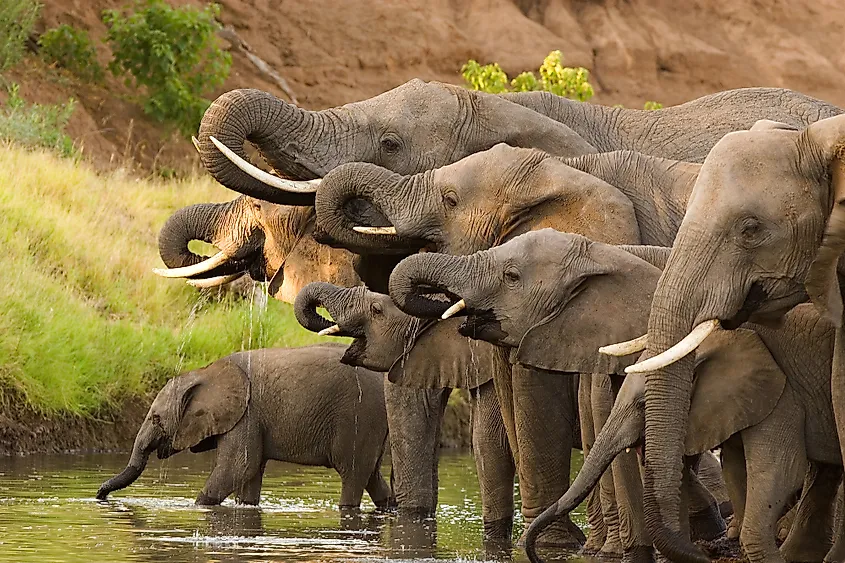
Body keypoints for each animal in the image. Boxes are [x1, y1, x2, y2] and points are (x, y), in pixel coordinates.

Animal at [96, 344, 392, 512]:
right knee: (372, 475)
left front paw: (197, 507)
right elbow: (249, 475)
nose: (99, 495)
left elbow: (238, 467)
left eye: (156, 419)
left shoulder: (247, 414)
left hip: (359, 417)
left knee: (353, 475)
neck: (205, 372)